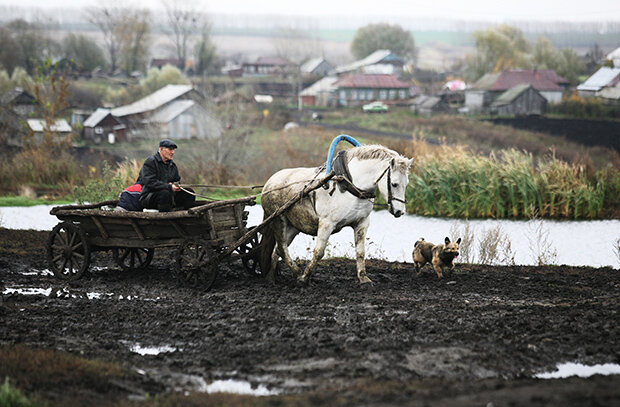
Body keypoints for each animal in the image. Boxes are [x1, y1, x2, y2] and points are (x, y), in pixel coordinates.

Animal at [260, 145, 414, 286]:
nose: (400, 212)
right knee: (281, 248)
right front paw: (304, 277)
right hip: (278, 220)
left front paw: (364, 278)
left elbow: (360, 252)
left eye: (407, 183)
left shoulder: (362, 223)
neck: (350, 185)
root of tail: (270, 182)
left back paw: (270, 278)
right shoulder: (326, 224)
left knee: (277, 250)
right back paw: (296, 273)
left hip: (293, 227)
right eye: (394, 184)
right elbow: (319, 252)